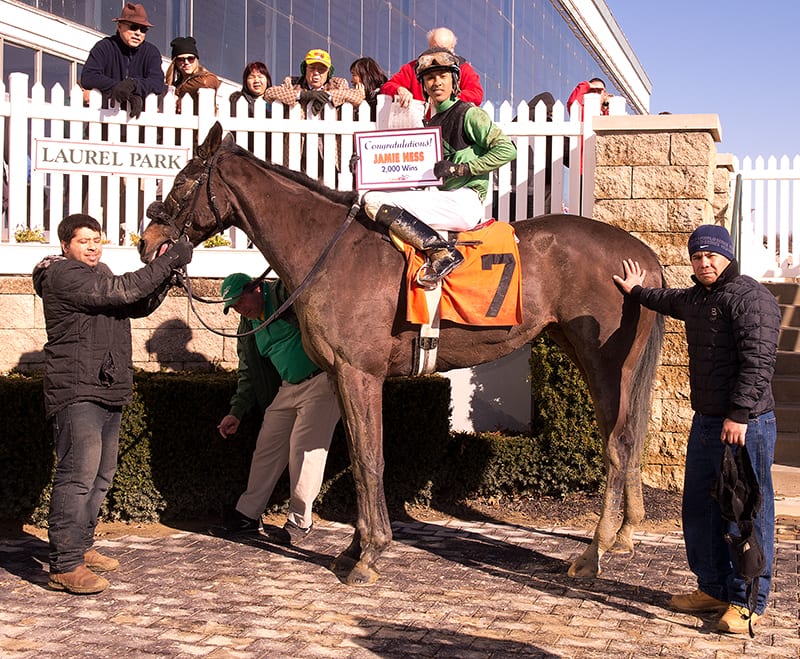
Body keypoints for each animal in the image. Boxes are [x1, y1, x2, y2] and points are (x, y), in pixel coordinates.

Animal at [141, 124, 664, 588]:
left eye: (183, 181)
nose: (147, 243)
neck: (330, 250)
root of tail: (642, 257)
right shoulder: (340, 377)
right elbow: (356, 457)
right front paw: (354, 548)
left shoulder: (359, 374)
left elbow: (370, 459)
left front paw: (370, 554)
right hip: (588, 356)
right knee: (627, 436)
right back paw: (622, 537)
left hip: (604, 361)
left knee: (618, 444)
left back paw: (593, 554)